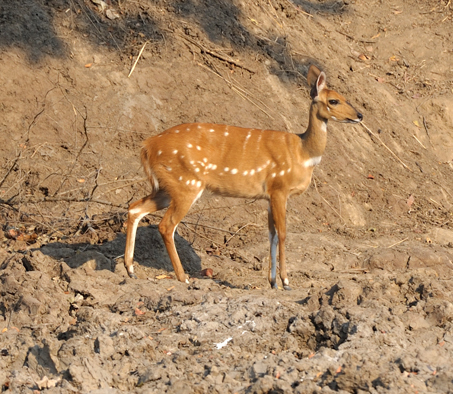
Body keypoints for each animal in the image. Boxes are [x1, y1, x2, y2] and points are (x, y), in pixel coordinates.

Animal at [122, 65, 360, 290]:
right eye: (334, 100)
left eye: (345, 97)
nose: (359, 115)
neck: (304, 153)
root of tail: (147, 146)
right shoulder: (279, 188)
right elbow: (283, 233)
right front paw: (285, 282)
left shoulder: (268, 196)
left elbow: (272, 234)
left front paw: (272, 282)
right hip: (186, 184)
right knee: (166, 225)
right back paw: (184, 278)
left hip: (166, 186)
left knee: (134, 208)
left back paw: (130, 269)